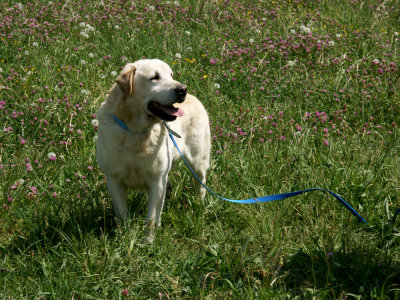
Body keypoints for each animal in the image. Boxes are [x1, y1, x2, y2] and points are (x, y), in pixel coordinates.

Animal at [96, 58, 211, 241]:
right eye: (154, 77)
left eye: (170, 75)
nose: (182, 89)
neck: (135, 131)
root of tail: (194, 97)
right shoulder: (114, 179)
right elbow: (122, 214)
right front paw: (125, 237)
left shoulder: (157, 181)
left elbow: (151, 218)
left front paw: (147, 241)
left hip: (198, 161)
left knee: (200, 183)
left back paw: (199, 205)